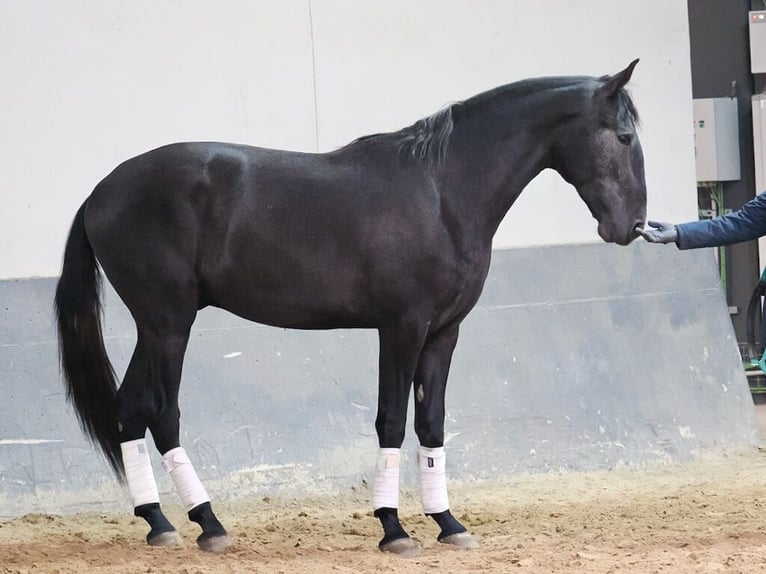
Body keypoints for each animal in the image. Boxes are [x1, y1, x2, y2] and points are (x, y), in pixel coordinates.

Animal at [54, 62, 648, 560]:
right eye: (623, 137)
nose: (633, 226)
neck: (442, 192)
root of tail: (100, 193)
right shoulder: (402, 328)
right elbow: (391, 420)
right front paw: (394, 529)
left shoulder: (444, 333)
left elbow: (431, 424)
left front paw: (448, 523)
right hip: (170, 325)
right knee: (162, 411)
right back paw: (209, 523)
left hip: (153, 326)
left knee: (130, 407)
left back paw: (158, 521)